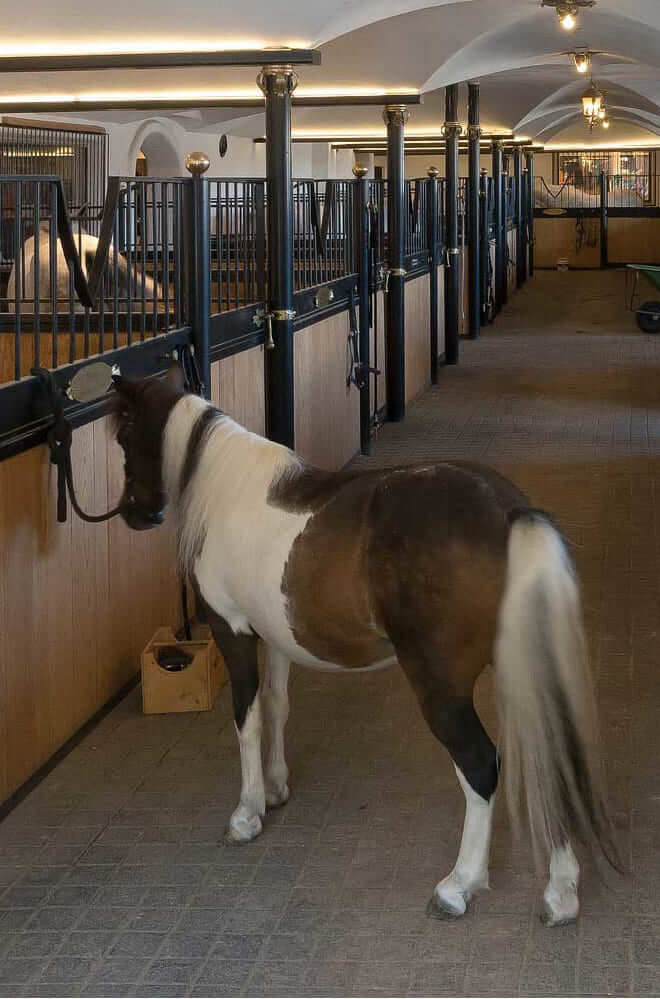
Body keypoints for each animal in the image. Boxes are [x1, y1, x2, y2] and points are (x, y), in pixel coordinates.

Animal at [111, 364, 619, 926]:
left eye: (124, 434)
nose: (134, 513)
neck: (225, 491)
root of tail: (510, 512)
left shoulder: (234, 631)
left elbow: (248, 718)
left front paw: (247, 813)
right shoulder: (277, 637)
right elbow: (278, 706)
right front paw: (276, 787)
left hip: (440, 686)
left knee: (480, 764)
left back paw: (459, 885)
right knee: (554, 754)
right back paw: (561, 892)